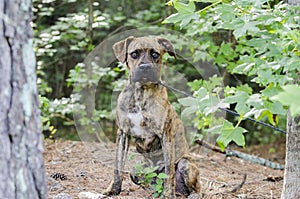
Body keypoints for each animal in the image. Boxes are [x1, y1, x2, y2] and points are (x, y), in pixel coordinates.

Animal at [104, 36, 200, 198]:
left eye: (155, 54)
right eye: (134, 54)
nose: (145, 67)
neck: (141, 93)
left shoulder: (165, 135)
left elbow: (169, 172)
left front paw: (168, 194)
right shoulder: (122, 132)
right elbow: (118, 165)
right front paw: (113, 189)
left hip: (185, 164)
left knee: (195, 187)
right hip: (137, 170)